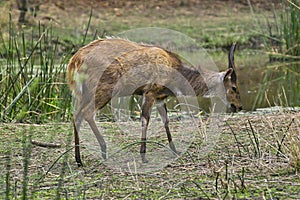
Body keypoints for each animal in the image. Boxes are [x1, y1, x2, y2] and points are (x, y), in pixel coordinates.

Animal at [67, 37, 243, 166]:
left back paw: (79, 159)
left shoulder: (160, 97)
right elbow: (145, 119)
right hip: (103, 90)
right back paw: (103, 151)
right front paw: (143, 156)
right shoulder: (150, 92)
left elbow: (166, 120)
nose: (239, 106)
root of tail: (75, 60)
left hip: (85, 93)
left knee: (76, 115)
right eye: (234, 87)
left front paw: (175, 150)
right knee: (88, 113)